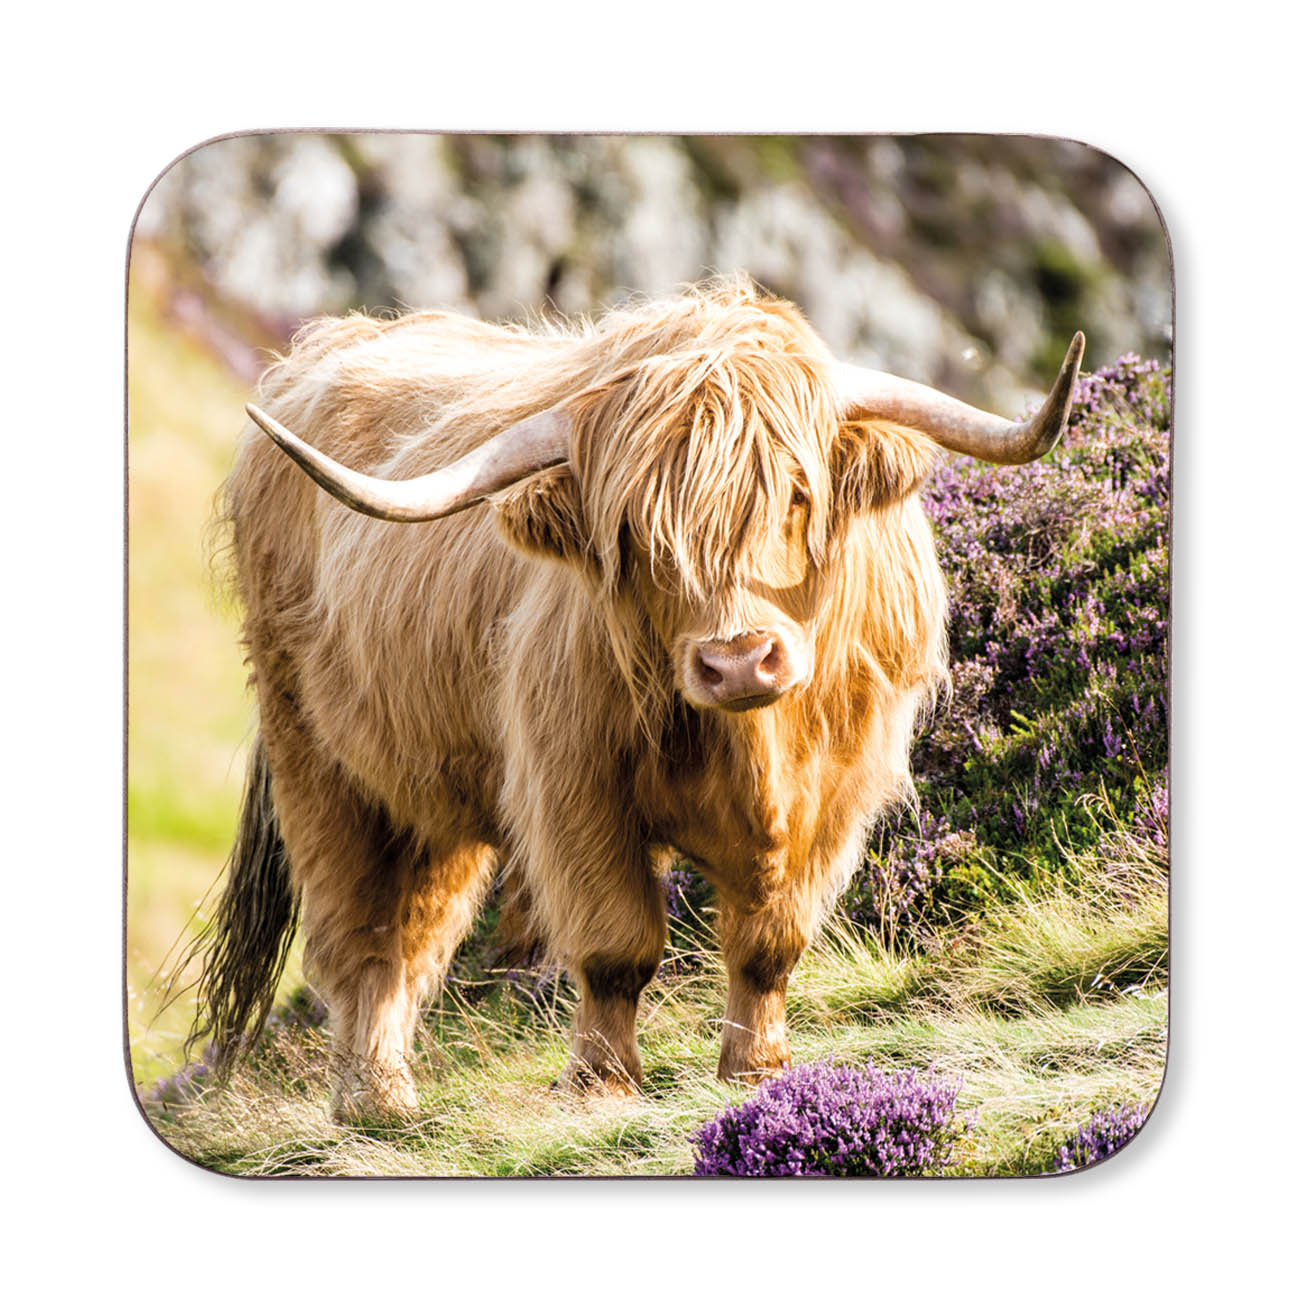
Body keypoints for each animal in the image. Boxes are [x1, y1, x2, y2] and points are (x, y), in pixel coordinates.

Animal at [193, 276, 1082, 1122]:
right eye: (637, 533)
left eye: (797, 497)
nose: (739, 662)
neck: (756, 749)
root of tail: (325, 349)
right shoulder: (574, 786)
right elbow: (617, 945)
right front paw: (603, 1084)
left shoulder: (840, 792)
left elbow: (771, 942)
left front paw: (758, 1073)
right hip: (318, 760)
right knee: (366, 934)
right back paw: (374, 1099)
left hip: (431, 793)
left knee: (417, 928)